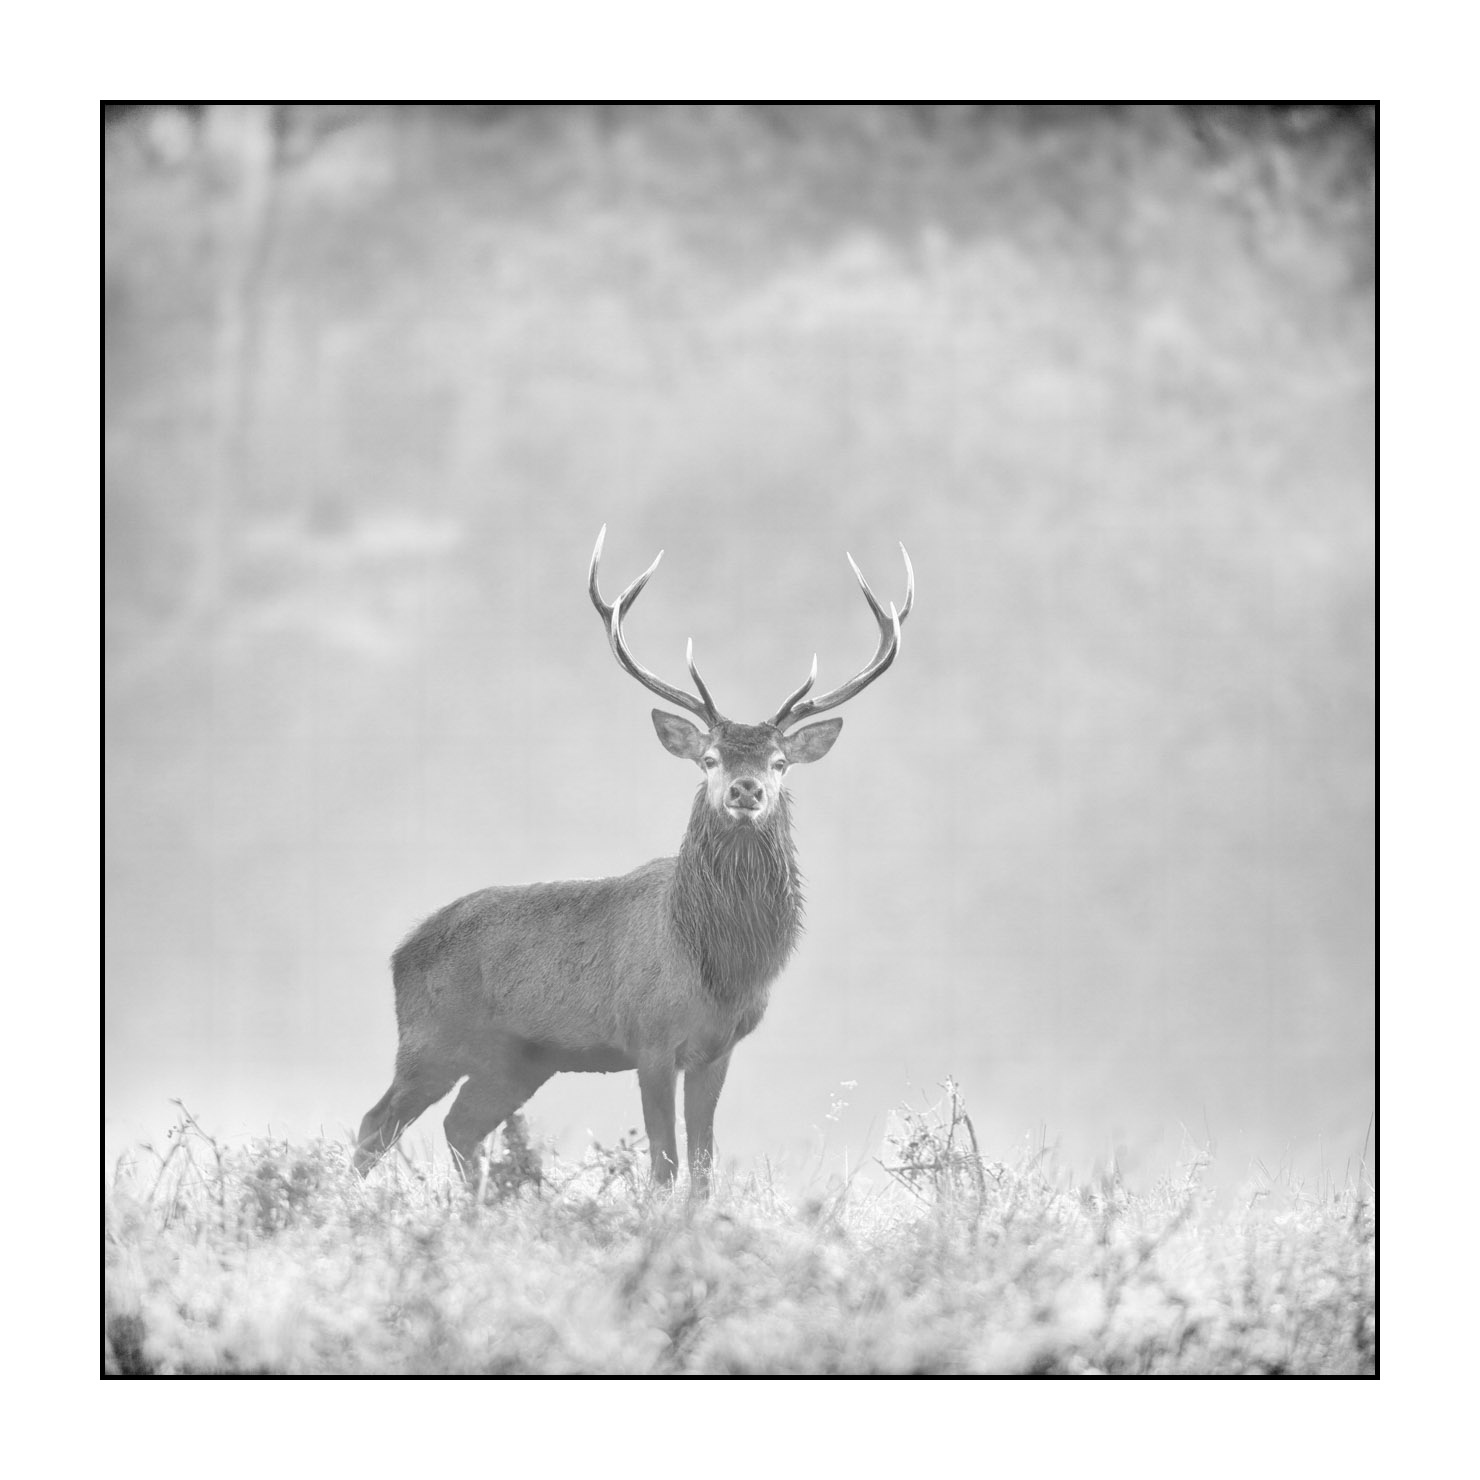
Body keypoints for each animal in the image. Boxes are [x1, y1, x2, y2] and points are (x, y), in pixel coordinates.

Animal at [353, 526, 913, 1196]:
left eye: (780, 762)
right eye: (709, 758)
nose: (745, 790)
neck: (715, 963)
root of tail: (400, 951)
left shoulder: (717, 1048)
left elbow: (702, 1165)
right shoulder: (649, 1038)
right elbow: (664, 1163)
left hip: (517, 1058)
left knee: (461, 1127)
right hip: (431, 1038)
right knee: (375, 1124)